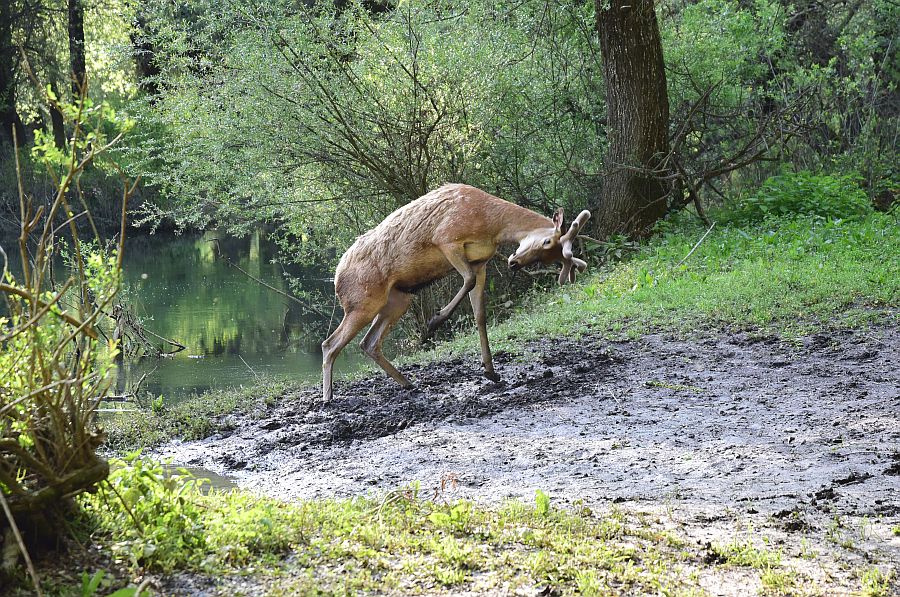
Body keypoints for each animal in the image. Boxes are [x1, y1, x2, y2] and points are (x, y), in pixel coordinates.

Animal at [324, 183, 592, 400]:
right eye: (547, 242)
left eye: (552, 256)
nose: (514, 262)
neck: (490, 225)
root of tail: (336, 278)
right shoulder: (446, 239)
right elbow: (468, 281)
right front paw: (435, 321)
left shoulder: (481, 261)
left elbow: (480, 314)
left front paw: (491, 371)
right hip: (362, 301)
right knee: (330, 344)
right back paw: (328, 397)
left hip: (398, 298)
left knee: (368, 343)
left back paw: (409, 383)